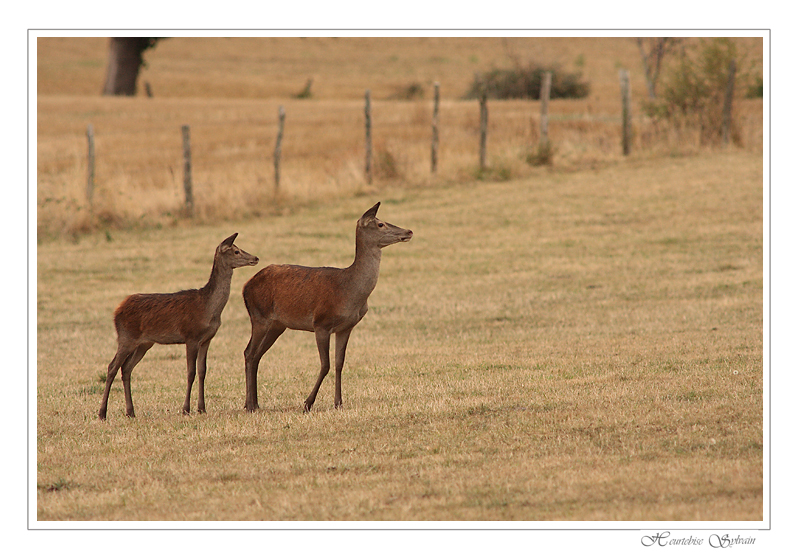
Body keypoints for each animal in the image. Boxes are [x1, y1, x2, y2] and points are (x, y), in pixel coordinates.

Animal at [95, 232, 260, 420]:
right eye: (236, 251)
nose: (255, 258)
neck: (208, 308)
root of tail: (117, 310)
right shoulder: (191, 336)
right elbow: (190, 373)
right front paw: (186, 409)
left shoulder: (207, 339)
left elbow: (202, 371)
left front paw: (202, 408)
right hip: (126, 337)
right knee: (112, 367)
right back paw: (102, 413)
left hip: (144, 343)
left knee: (127, 368)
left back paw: (130, 412)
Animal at [241, 203, 412, 414]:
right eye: (380, 224)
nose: (409, 231)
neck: (349, 292)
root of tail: (245, 286)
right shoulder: (321, 323)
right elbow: (325, 365)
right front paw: (308, 403)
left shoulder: (346, 327)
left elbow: (339, 363)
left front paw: (338, 403)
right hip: (259, 316)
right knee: (249, 352)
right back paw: (249, 405)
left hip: (277, 325)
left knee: (257, 355)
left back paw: (255, 403)